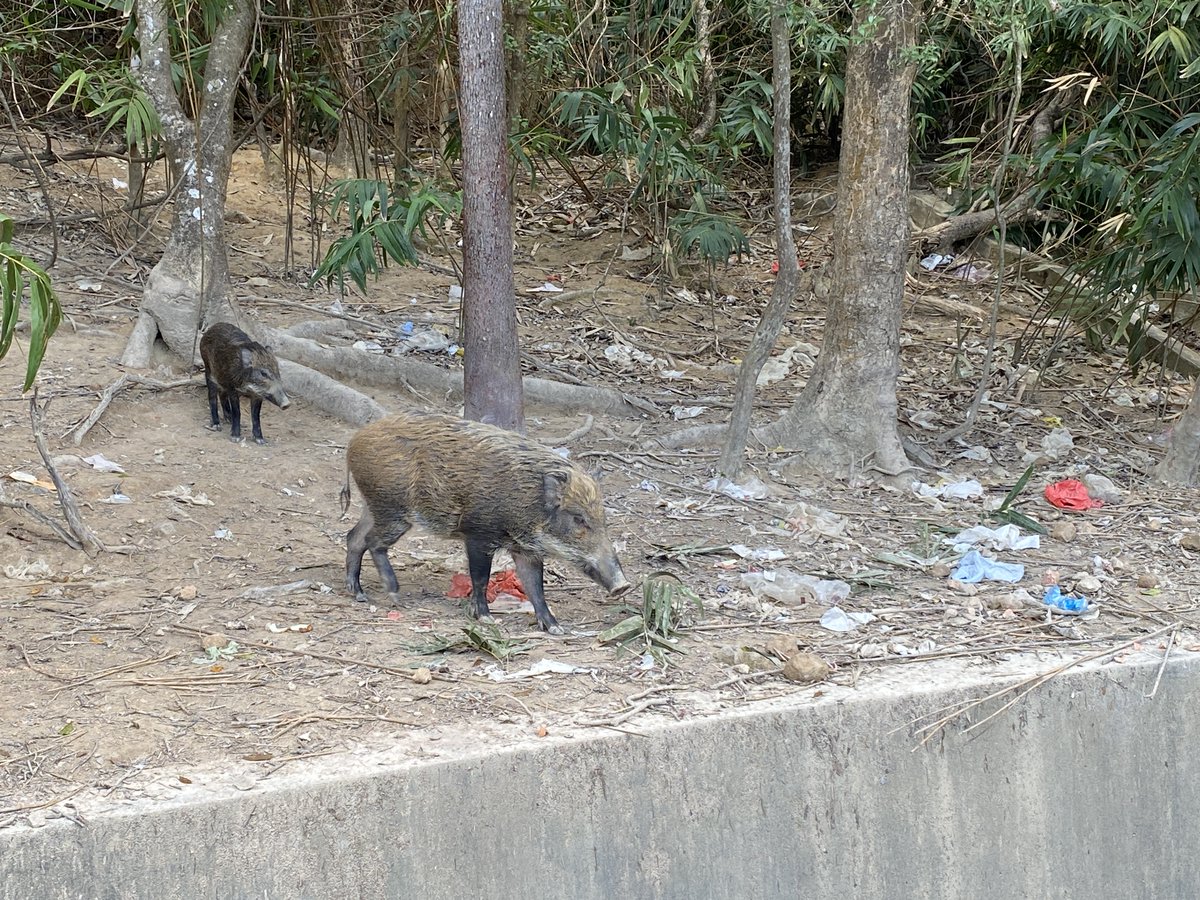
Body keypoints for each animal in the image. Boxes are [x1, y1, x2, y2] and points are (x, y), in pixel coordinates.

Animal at [340, 409, 631, 634]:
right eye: (578, 518)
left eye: (603, 518)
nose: (623, 586)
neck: (528, 503)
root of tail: (354, 440)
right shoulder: (478, 534)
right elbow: (480, 578)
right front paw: (487, 619)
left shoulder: (525, 550)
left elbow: (535, 587)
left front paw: (556, 628)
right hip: (393, 509)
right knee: (372, 542)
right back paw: (395, 596)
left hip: (374, 505)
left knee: (353, 537)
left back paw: (359, 593)